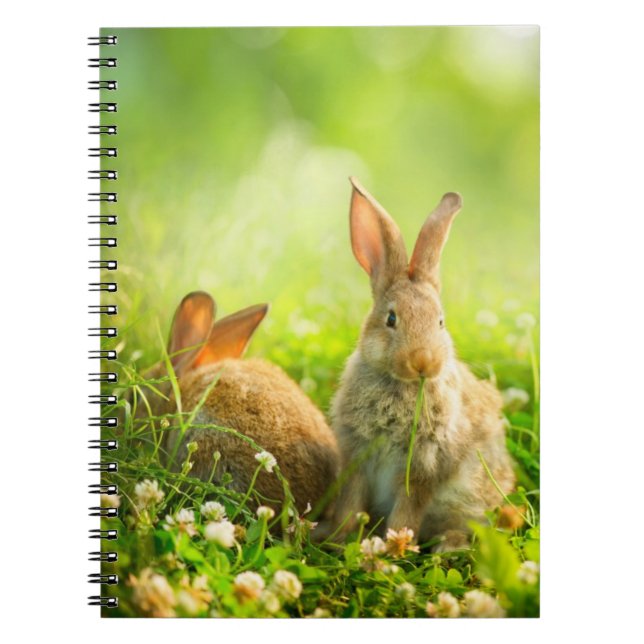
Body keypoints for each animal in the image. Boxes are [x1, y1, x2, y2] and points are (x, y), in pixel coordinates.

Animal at [328, 177, 515, 551]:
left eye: (440, 322)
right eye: (391, 319)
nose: (423, 361)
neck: (403, 386)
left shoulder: (424, 468)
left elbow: (407, 512)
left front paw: (394, 548)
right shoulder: (356, 456)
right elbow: (351, 503)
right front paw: (341, 539)